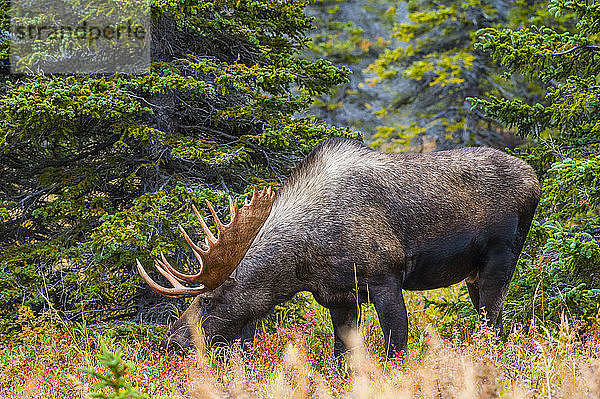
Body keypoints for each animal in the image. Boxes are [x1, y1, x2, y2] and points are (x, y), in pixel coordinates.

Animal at [136, 139, 540, 358]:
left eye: (206, 300)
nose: (171, 344)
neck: (304, 263)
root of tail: (535, 178)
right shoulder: (338, 296)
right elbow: (342, 357)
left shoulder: (385, 277)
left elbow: (396, 349)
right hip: (473, 274)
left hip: (501, 259)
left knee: (494, 325)